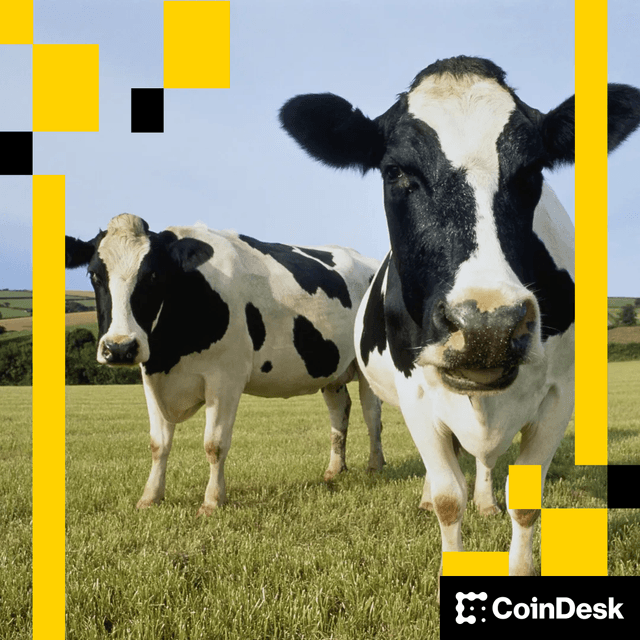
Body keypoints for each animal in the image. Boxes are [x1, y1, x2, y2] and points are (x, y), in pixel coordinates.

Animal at [65, 214, 386, 515]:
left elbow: (214, 444)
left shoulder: (226, 378)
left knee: (372, 415)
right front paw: (150, 497)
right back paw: (334, 470)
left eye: (153, 275)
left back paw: (375, 466)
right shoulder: (152, 377)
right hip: (331, 370)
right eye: (94, 274)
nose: (119, 347)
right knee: (339, 412)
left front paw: (212, 501)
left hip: (366, 367)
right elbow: (158, 444)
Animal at [279, 56, 640, 584]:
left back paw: (486, 499)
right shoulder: (416, 391)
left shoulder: (561, 394)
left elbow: (525, 503)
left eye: (533, 170)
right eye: (395, 171)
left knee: (485, 460)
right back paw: (429, 497)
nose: (487, 326)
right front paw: (443, 522)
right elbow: (451, 498)